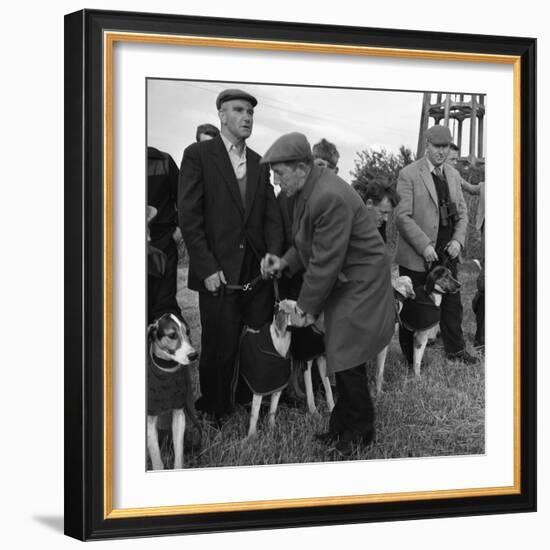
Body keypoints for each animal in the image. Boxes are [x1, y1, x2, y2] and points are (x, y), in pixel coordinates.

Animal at [148, 314, 199, 470]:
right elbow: (157, 460)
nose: (194, 355)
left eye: (188, 331)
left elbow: (179, 454)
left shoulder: (179, 414)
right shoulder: (149, 422)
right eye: (172, 335)